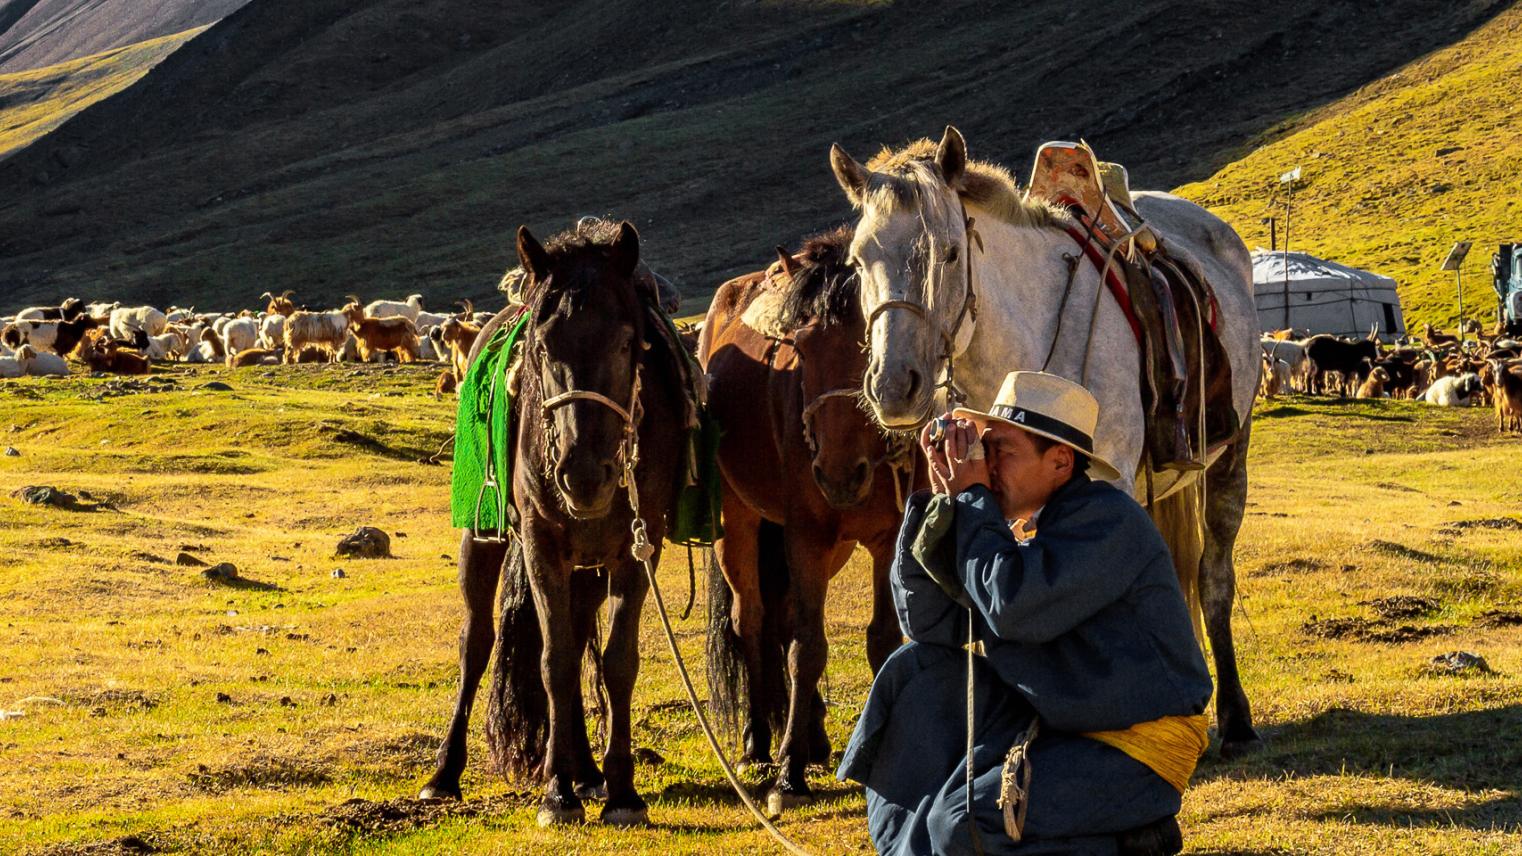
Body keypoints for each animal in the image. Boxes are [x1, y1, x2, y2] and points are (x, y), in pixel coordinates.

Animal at [413, 216, 681, 822]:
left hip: (588, 565)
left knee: (579, 635)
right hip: (483, 535)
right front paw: (557, 793)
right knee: (476, 642)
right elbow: (553, 661)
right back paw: (445, 775)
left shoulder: (639, 548)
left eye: (627, 342)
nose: (583, 475)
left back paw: (587, 771)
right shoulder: (540, 544)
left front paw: (620, 791)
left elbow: (617, 661)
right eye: (541, 345)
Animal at [697, 229, 919, 810]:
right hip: (740, 523)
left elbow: (880, 639)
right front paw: (788, 775)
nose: (837, 474)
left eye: (869, 343)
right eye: (799, 347)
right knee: (752, 619)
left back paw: (812, 736)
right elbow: (807, 648)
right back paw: (758, 742)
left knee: (784, 616)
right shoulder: (805, 536)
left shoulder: (886, 538)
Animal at [834, 126, 1260, 752]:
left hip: (1231, 457)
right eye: (859, 260)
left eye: (951, 253)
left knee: (1213, 580)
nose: (894, 386)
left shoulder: (1111, 484)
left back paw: (1234, 718)